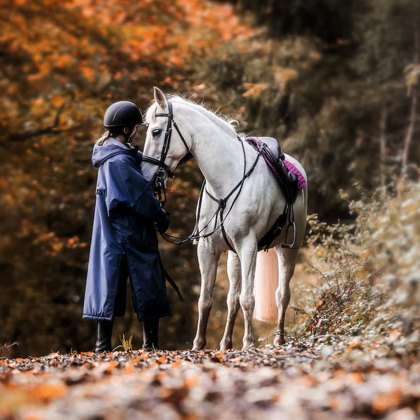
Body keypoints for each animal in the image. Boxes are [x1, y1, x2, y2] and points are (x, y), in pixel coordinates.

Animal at [142, 88, 308, 352]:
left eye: (156, 132)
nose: (147, 175)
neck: (226, 180)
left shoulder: (248, 247)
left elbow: (248, 299)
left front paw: (248, 343)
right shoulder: (208, 248)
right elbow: (206, 299)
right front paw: (198, 344)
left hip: (287, 250)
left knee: (282, 294)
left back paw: (279, 339)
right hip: (233, 256)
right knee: (232, 298)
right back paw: (225, 343)